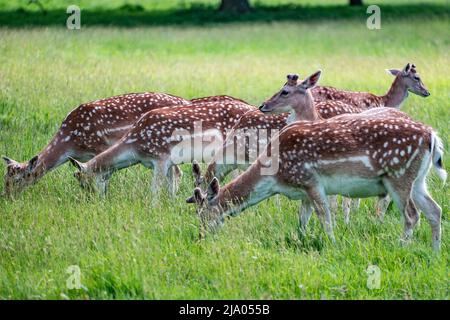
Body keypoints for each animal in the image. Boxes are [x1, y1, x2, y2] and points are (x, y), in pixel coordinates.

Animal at [0, 91, 193, 196]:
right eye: (5, 179)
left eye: (17, 180)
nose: (7, 197)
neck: (70, 143)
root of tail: (186, 100)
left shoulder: (100, 145)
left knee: (177, 172)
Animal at [68, 100, 255, 195]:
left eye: (83, 183)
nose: (93, 200)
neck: (135, 147)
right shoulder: (169, 161)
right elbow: (171, 183)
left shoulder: (160, 157)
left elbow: (155, 190)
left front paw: (153, 210)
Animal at [187, 111, 446, 251]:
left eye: (204, 214)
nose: (199, 237)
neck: (276, 178)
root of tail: (432, 136)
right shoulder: (303, 191)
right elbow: (303, 219)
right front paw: (301, 240)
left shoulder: (310, 180)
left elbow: (325, 217)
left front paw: (333, 244)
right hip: (418, 179)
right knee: (435, 210)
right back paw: (435, 252)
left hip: (398, 175)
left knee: (412, 215)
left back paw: (401, 246)